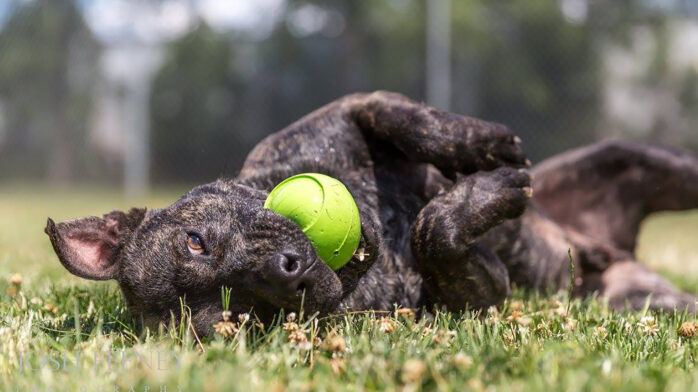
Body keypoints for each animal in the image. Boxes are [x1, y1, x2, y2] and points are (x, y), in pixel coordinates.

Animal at [46, 91, 696, 334]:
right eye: (238, 317)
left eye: (196, 241)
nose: (287, 273)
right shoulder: (478, 295)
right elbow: (438, 232)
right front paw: (485, 196)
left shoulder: (355, 108)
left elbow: (413, 122)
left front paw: (482, 146)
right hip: (644, 301)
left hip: (645, 164)